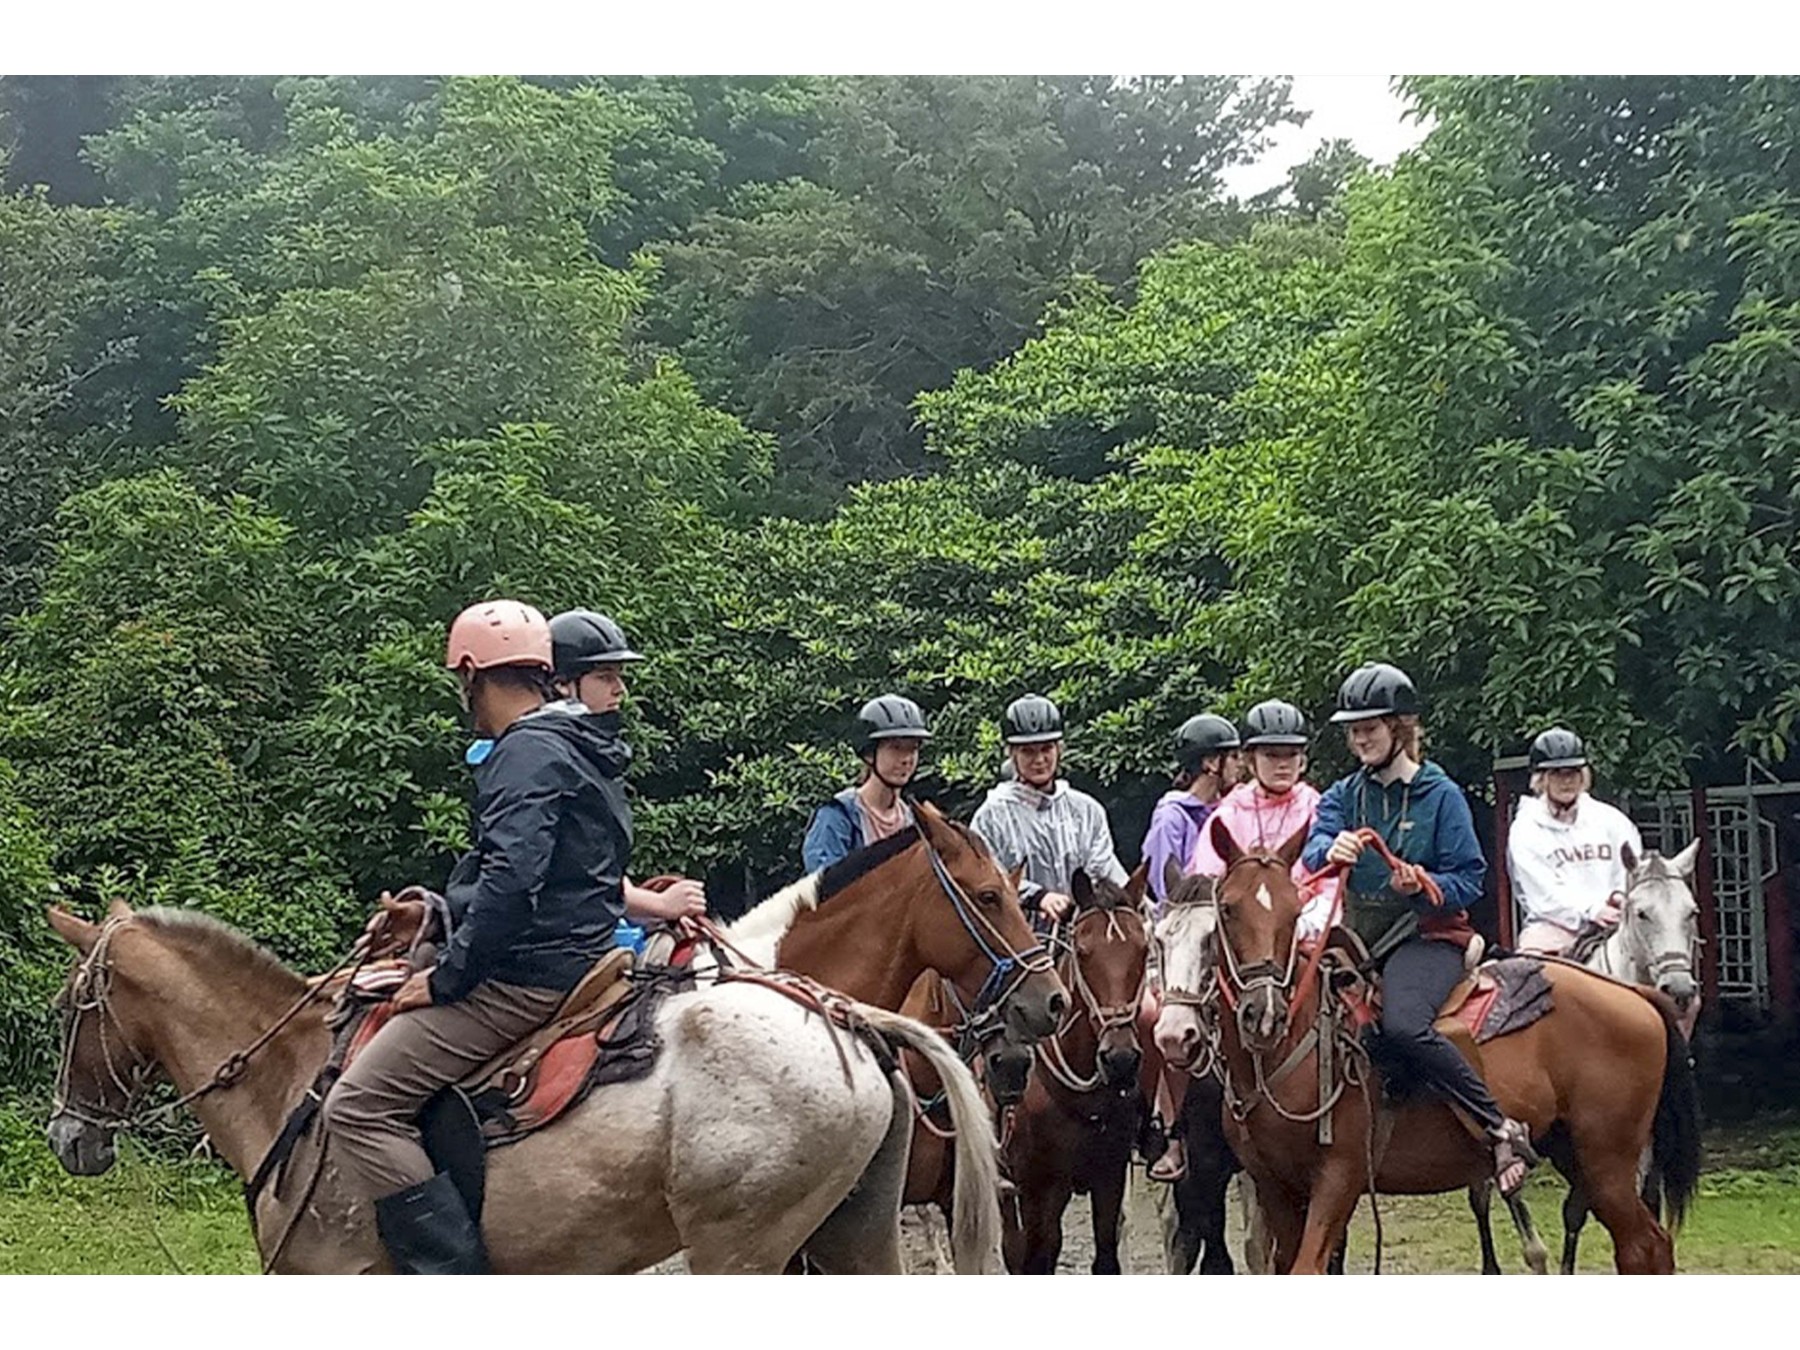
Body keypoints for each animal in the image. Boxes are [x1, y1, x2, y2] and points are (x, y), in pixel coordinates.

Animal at [42, 903, 1008, 1274]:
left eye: (65, 1010)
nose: (66, 1137)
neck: (293, 1084)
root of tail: (847, 1017)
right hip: (853, 1232)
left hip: (739, 1248)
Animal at [1000, 871, 1152, 1274]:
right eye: (1083, 952)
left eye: (1143, 951)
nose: (1120, 1059)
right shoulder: (1036, 1186)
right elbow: (1033, 1258)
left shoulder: (1109, 1176)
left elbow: (1106, 1257)